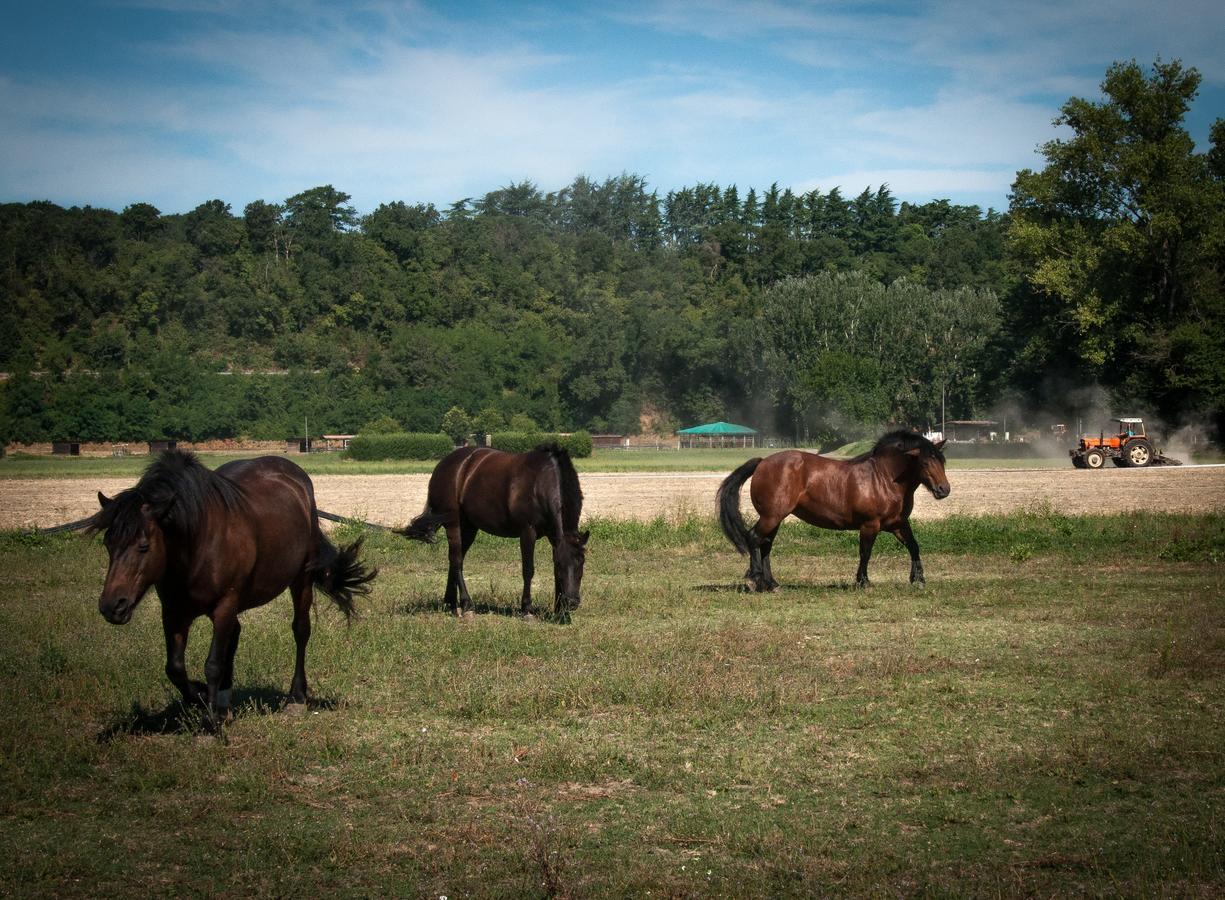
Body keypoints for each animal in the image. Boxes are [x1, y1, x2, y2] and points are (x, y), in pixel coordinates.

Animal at [88, 450, 374, 724]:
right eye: (108, 543)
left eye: (144, 545)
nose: (112, 606)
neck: (197, 543)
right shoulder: (172, 610)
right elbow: (175, 667)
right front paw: (202, 696)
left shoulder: (225, 603)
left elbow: (213, 663)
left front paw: (209, 720)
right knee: (234, 636)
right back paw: (225, 702)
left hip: (300, 580)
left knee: (301, 631)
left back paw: (296, 698)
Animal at [396, 443, 588, 619]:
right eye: (561, 564)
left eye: (581, 563)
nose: (572, 602)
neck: (542, 483)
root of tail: (443, 465)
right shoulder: (527, 531)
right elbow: (528, 569)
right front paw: (527, 609)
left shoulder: (554, 536)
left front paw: (559, 611)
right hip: (453, 523)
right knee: (456, 560)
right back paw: (466, 605)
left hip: (469, 527)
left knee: (455, 559)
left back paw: (451, 603)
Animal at [715, 431, 945, 592]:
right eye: (925, 462)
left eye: (942, 461)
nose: (944, 489)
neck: (883, 478)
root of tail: (763, 462)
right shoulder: (870, 525)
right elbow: (865, 553)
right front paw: (863, 582)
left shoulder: (897, 524)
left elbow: (914, 547)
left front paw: (918, 579)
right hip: (771, 517)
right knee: (754, 538)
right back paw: (754, 580)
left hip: (774, 519)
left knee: (765, 546)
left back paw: (771, 584)